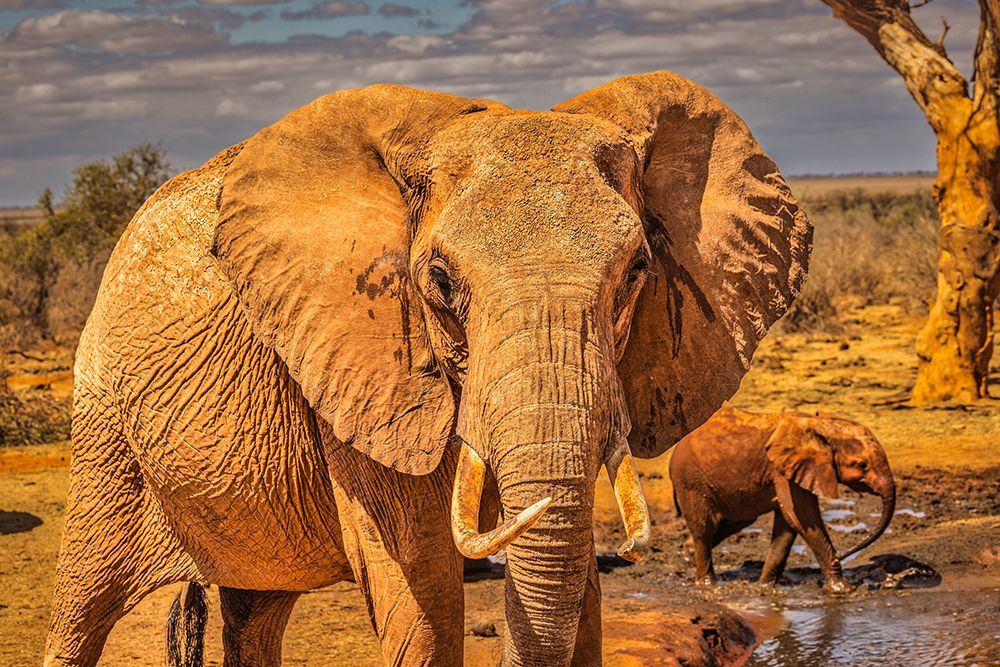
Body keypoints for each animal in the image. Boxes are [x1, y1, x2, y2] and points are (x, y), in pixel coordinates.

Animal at [44, 71, 811, 667]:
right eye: (439, 280)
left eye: (637, 271)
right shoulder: (365, 373)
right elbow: (425, 591)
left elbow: (576, 586)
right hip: (103, 419)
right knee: (82, 603)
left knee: (255, 609)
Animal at [669, 407, 896, 594]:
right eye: (861, 465)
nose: (846, 554)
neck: (820, 425)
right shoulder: (782, 470)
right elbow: (803, 519)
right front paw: (843, 590)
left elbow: (788, 525)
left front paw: (765, 588)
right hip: (691, 482)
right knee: (704, 529)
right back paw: (707, 585)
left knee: (736, 521)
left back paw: (689, 551)